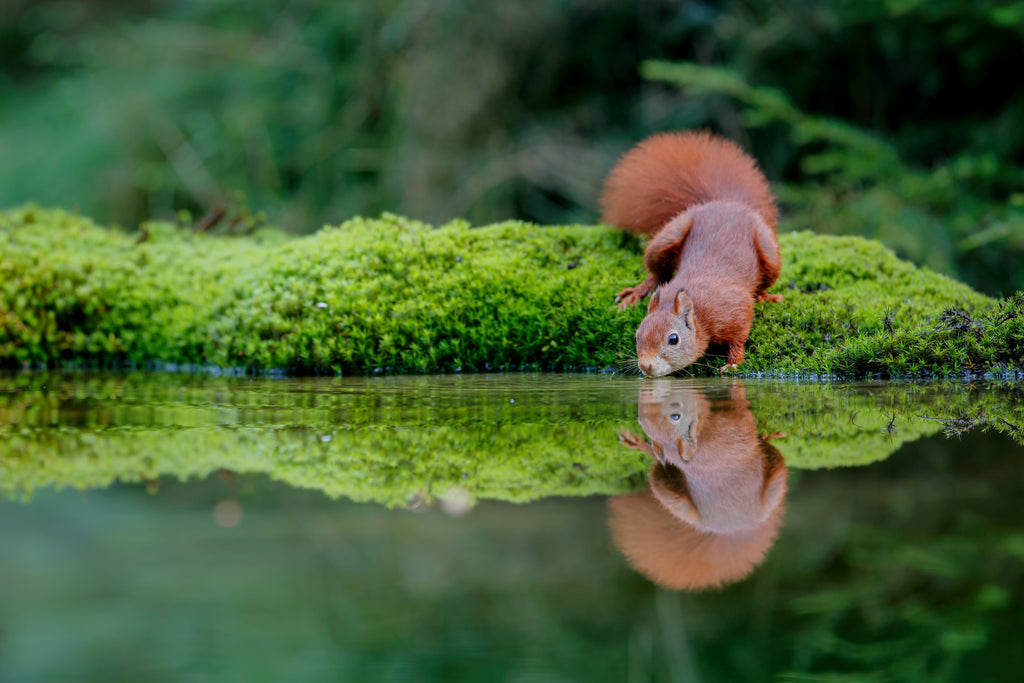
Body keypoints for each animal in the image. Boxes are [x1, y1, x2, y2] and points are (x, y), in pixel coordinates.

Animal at [598, 131, 782, 376]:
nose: (646, 366)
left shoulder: (736, 307)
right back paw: (637, 292)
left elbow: (739, 338)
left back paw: (764, 295)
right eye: (637, 337)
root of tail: (726, 203)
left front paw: (734, 362)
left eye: (673, 339)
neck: (699, 311)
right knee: (656, 273)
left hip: (768, 250)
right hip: (667, 237)